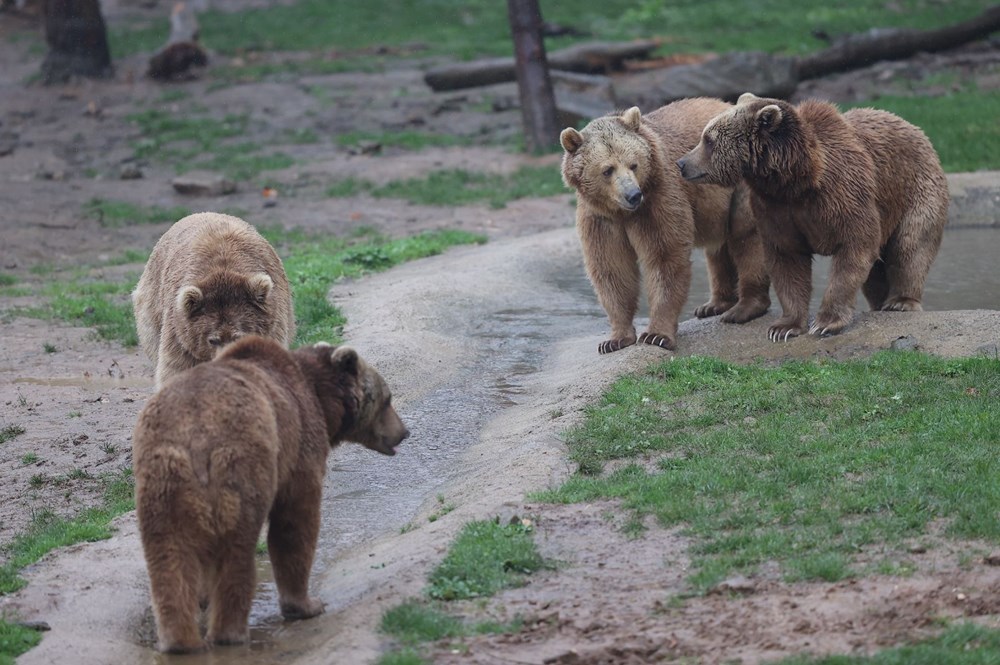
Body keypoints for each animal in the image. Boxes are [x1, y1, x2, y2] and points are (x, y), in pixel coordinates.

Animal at [134, 334, 410, 652]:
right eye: (387, 398)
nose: (404, 432)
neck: (320, 396)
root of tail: (195, 435)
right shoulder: (299, 442)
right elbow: (295, 522)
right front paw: (307, 604)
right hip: (241, 466)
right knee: (237, 548)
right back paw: (229, 632)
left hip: (161, 481)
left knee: (167, 555)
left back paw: (179, 640)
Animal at [560, 97, 768, 352]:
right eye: (607, 170)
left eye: (633, 164)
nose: (633, 195)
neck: (622, 212)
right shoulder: (600, 217)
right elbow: (612, 267)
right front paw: (615, 339)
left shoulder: (657, 198)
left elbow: (664, 256)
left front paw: (656, 335)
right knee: (718, 249)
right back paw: (714, 304)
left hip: (741, 183)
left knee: (746, 236)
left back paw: (746, 307)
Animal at [676, 92, 948, 342]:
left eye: (708, 140)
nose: (682, 163)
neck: (796, 181)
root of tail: (915, 128)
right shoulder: (776, 208)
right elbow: (787, 260)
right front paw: (784, 327)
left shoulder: (844, 194)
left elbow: (855, 247)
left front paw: (826, 323)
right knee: (876, 274)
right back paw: (881, 303)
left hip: (917, 190)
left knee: (909, 246)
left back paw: (900, 301)